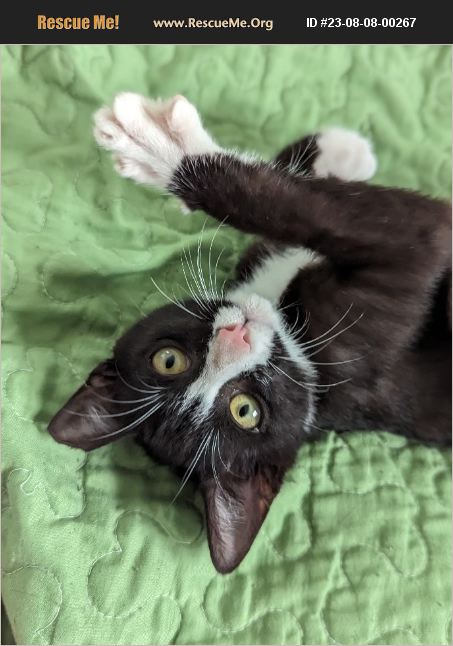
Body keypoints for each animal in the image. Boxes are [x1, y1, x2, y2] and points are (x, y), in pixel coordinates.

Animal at [48, 93, 452, 573]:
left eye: (168, 360)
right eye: (247, 411)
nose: (236, 337)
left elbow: (301, 196)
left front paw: (340, 151)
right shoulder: (377, 313)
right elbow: (323, 212)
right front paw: (159, 149)